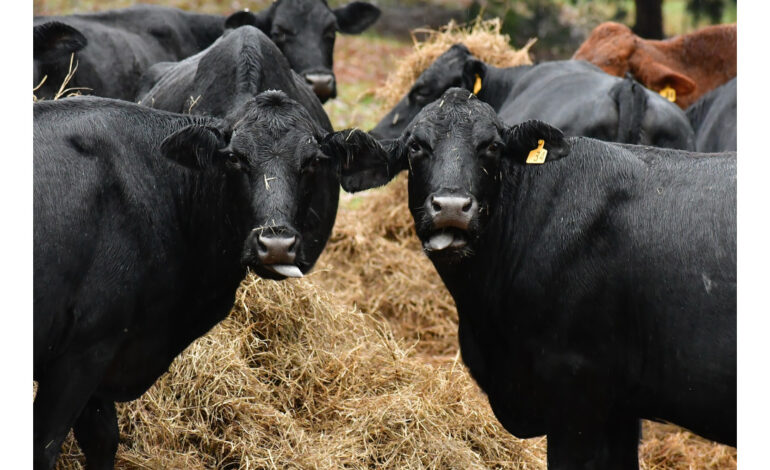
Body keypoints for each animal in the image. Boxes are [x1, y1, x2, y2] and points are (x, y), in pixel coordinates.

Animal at [34, 93, 382, 468]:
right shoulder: (85, 352)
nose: (276, 244)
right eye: (234, 157)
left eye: (313, 161)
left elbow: (103, 439)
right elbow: (45, 446)